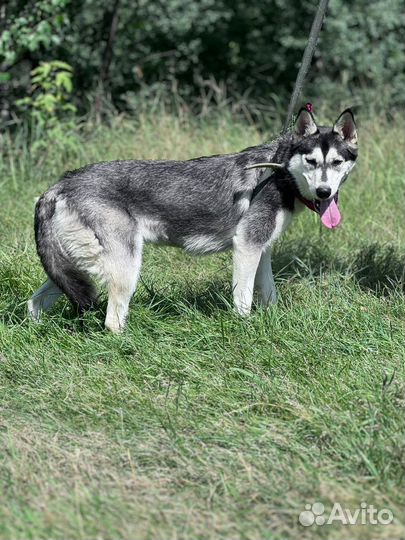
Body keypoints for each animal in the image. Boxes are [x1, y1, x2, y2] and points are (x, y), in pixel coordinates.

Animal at [27, 107, 356, 332]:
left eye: (336, 162)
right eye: (311, 161)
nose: (324, 191)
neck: (278, 170)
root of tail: (57, 187)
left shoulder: (261, 250)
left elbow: (268, 294)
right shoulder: (246, 247)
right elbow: (243, 301)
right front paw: (245, 328)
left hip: (72, 271)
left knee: (35, 302)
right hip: (125, 267)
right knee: (112, 321)